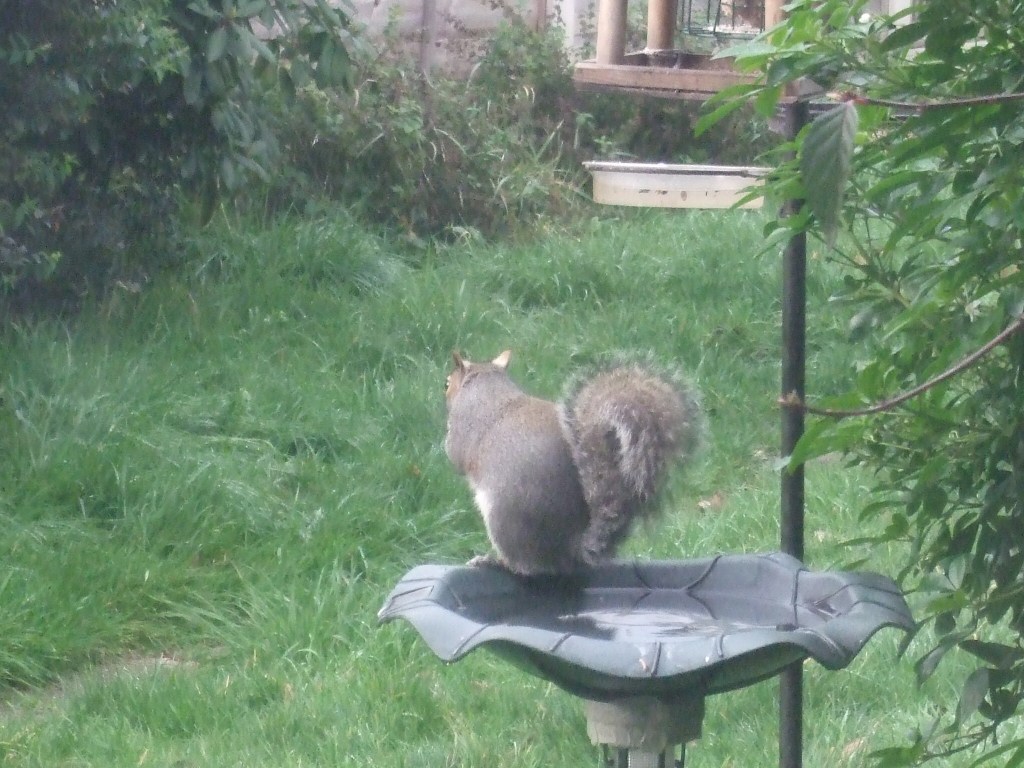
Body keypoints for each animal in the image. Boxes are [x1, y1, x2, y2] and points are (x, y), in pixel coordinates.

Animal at [444, 350, 701, 576]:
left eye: (447, 383)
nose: (444, 390)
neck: (488, 382)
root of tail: (570, 549)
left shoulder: (463, 426)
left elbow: (455, 454)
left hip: (503, 520)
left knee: (524, 566)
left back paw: (492, 561)